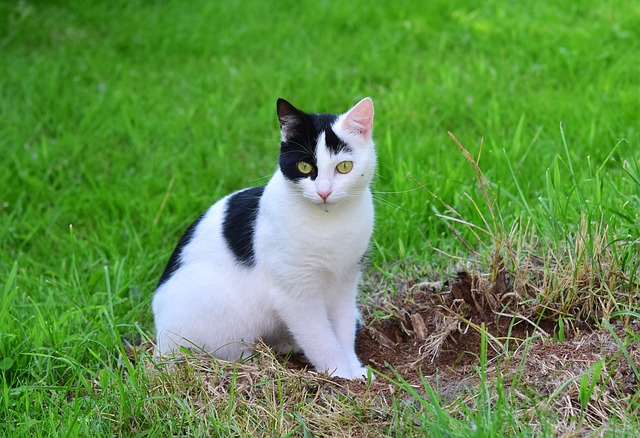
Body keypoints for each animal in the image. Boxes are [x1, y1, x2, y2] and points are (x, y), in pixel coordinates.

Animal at [152, 97, 378, 378]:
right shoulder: (295, 294)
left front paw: (355, 371)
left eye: (344, 167)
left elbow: (344, 329)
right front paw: (339, 374)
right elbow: (321, 338)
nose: (324, 192)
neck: (330, 222)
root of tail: (160, 341)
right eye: (305, 166)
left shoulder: (346, 281)